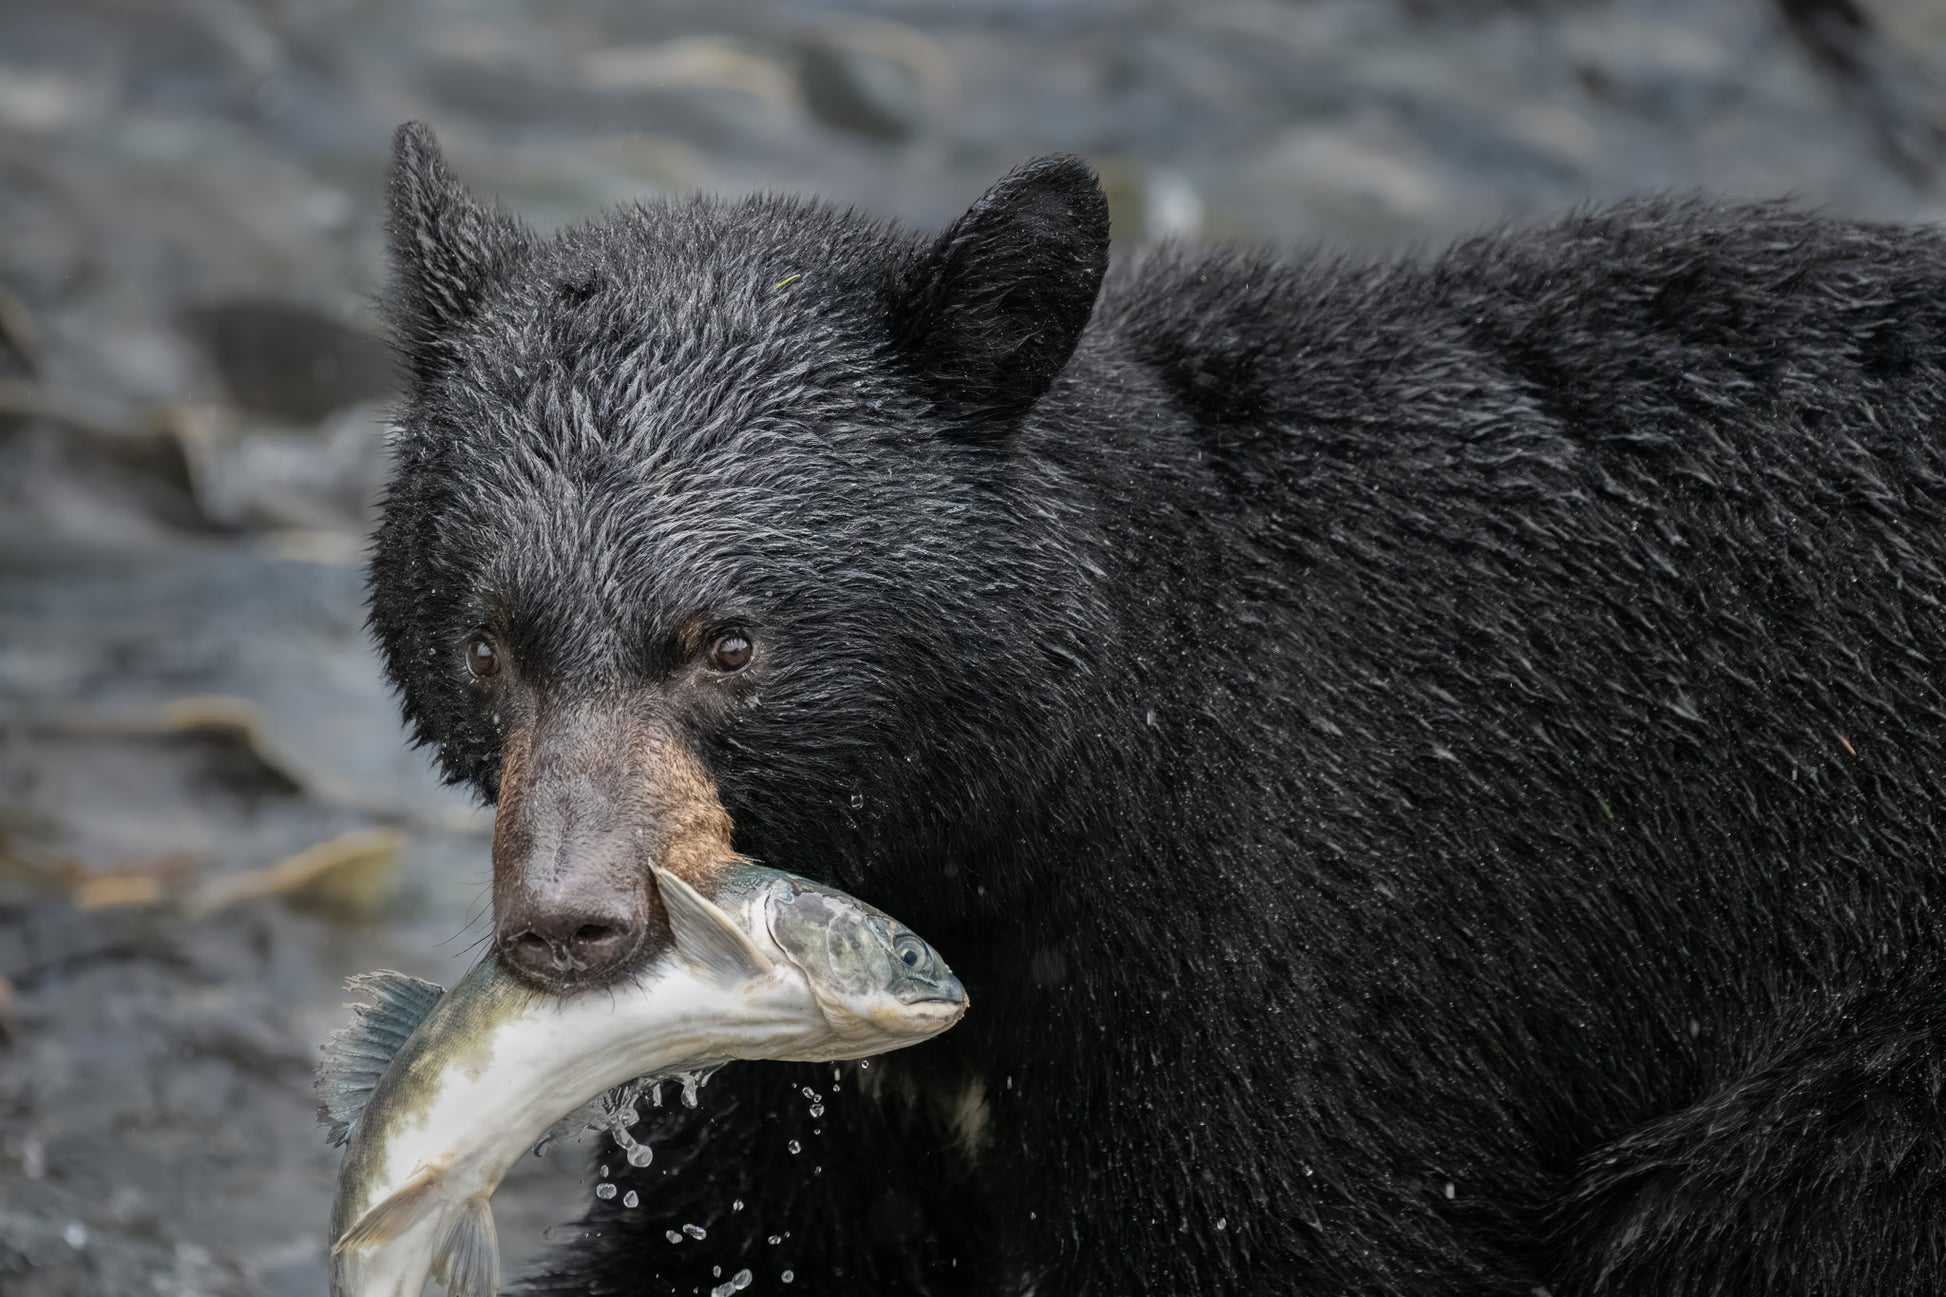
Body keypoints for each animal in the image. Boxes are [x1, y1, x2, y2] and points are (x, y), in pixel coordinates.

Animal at [366, 120, 1946, 1296]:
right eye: (487, 644)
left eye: (726, 643)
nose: (568, 923)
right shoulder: (802, 1076)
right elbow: (737, 1239)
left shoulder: (1293, 961)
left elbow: (1279, 1225)